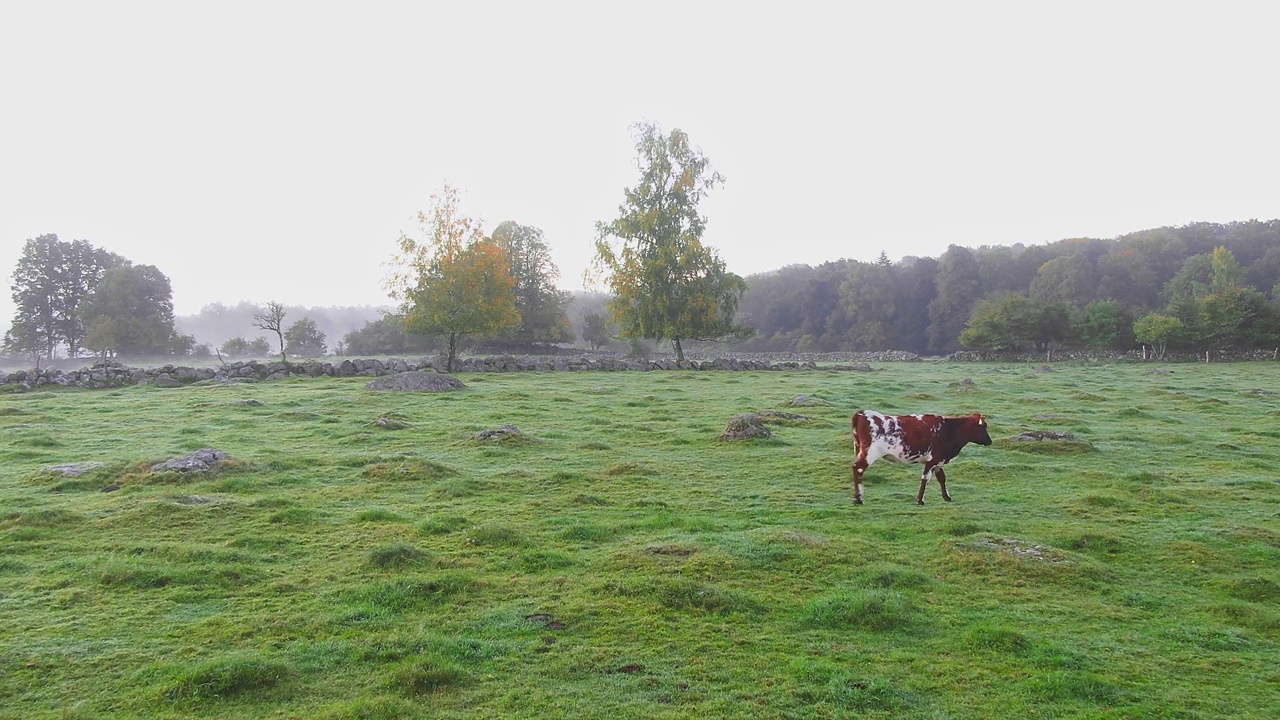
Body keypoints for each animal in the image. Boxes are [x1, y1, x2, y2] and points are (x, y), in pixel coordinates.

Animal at [855, 409, 993, 504]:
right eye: (983, 426)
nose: (989, 441)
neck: (948, 429)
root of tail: (862, 413)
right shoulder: (932, 460)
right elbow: (925, 478)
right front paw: (920, 500)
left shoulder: (939, 461)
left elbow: (942, 478)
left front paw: (946, 497)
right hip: (869, 454)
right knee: (858, 469)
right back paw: (858, 498)